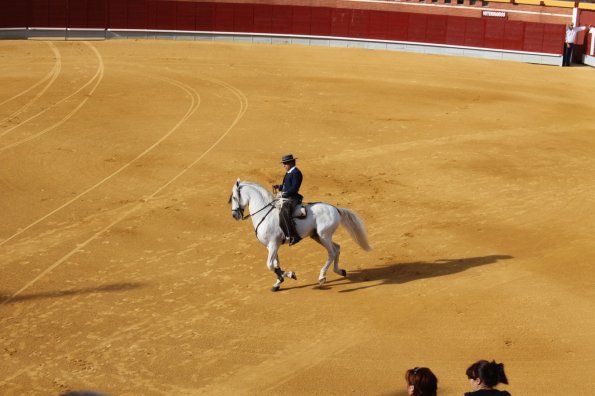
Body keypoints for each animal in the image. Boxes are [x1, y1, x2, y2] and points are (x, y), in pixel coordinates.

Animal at [229, 179, 372, 290]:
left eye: (234, 197)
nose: (234, 215)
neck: (265, 214)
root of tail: (335, 209)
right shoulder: (272, 246)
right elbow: (275, 264)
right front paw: (278, 283)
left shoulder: (273, 243)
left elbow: (270, 265)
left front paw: (290, 275)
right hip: (317, 236)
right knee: (337, 248)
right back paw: (339, 271)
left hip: (324, 235)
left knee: (332, 252)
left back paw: (322, 277)